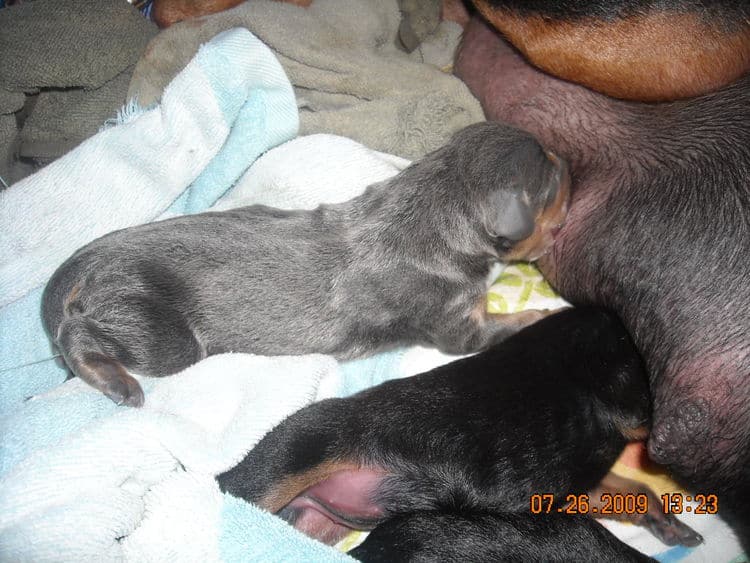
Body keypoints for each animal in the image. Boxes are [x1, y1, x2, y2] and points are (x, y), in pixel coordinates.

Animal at [41, 121, 568, 408]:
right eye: (552, 180)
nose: (573, 166)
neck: (440, 200)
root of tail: (93, 258)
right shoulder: (458, 324)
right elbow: (504, 326)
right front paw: (551, 313)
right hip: (159, 334)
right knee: (77, 336)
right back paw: (118, 382)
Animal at [220, 308, 704, 560]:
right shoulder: (625, 398)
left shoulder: (576, 487)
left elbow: (630, 487)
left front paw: (666, 520)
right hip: (291, 457)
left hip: (319, 521)